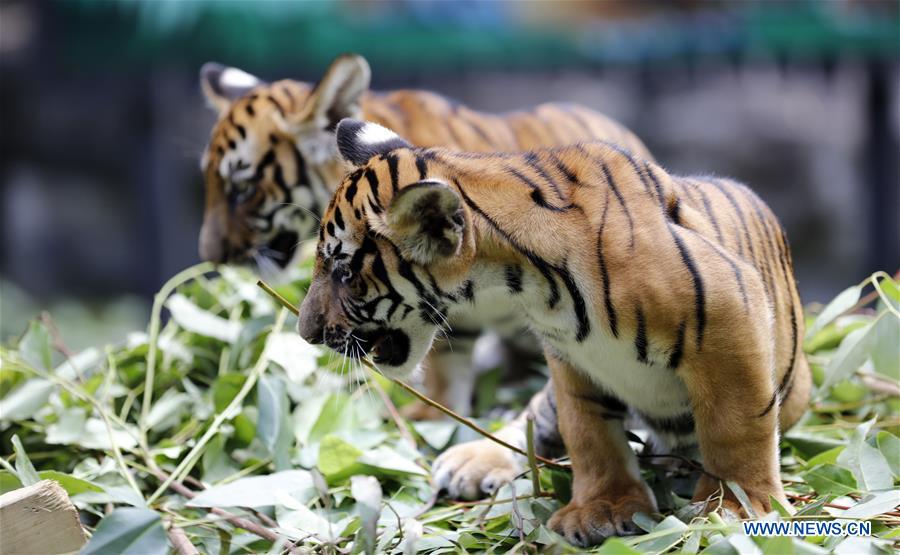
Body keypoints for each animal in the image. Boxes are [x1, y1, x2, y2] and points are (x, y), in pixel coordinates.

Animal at [296, 119, 812, 546]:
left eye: (343, 271)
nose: (305, 333)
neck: (527, 283)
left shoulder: (731, 312)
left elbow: (734, 427)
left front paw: (735, 507)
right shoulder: (572, 361)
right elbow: (588, 434)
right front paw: (603, 507)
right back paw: (468, 461)